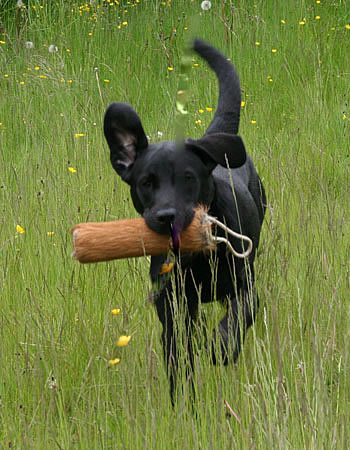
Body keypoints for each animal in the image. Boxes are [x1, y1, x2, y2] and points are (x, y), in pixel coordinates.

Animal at [104, 38, 266, 402]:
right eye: (146, 183)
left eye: (188, 178)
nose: (167, 217)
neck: (197, 258)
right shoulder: (174, 314)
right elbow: (180, 365)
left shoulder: (246, 287)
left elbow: (239, 314)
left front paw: (222, 345)